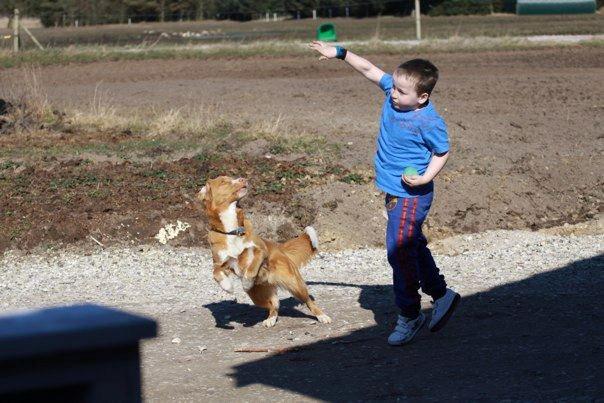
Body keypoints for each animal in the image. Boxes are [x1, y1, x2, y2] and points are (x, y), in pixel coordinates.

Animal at [197, 177, 330, 328]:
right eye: (224, 182)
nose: (243, 179)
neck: (233, 231)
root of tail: (279, 248)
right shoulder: (220, 263)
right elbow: (216, 274)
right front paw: (228, 287)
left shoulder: (261, 251)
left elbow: (252, 268)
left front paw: (246, 282)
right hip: (257, 296)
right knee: (274, 305)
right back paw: (271, 319)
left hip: (294, 284)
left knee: (308, 301)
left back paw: (322, 316)